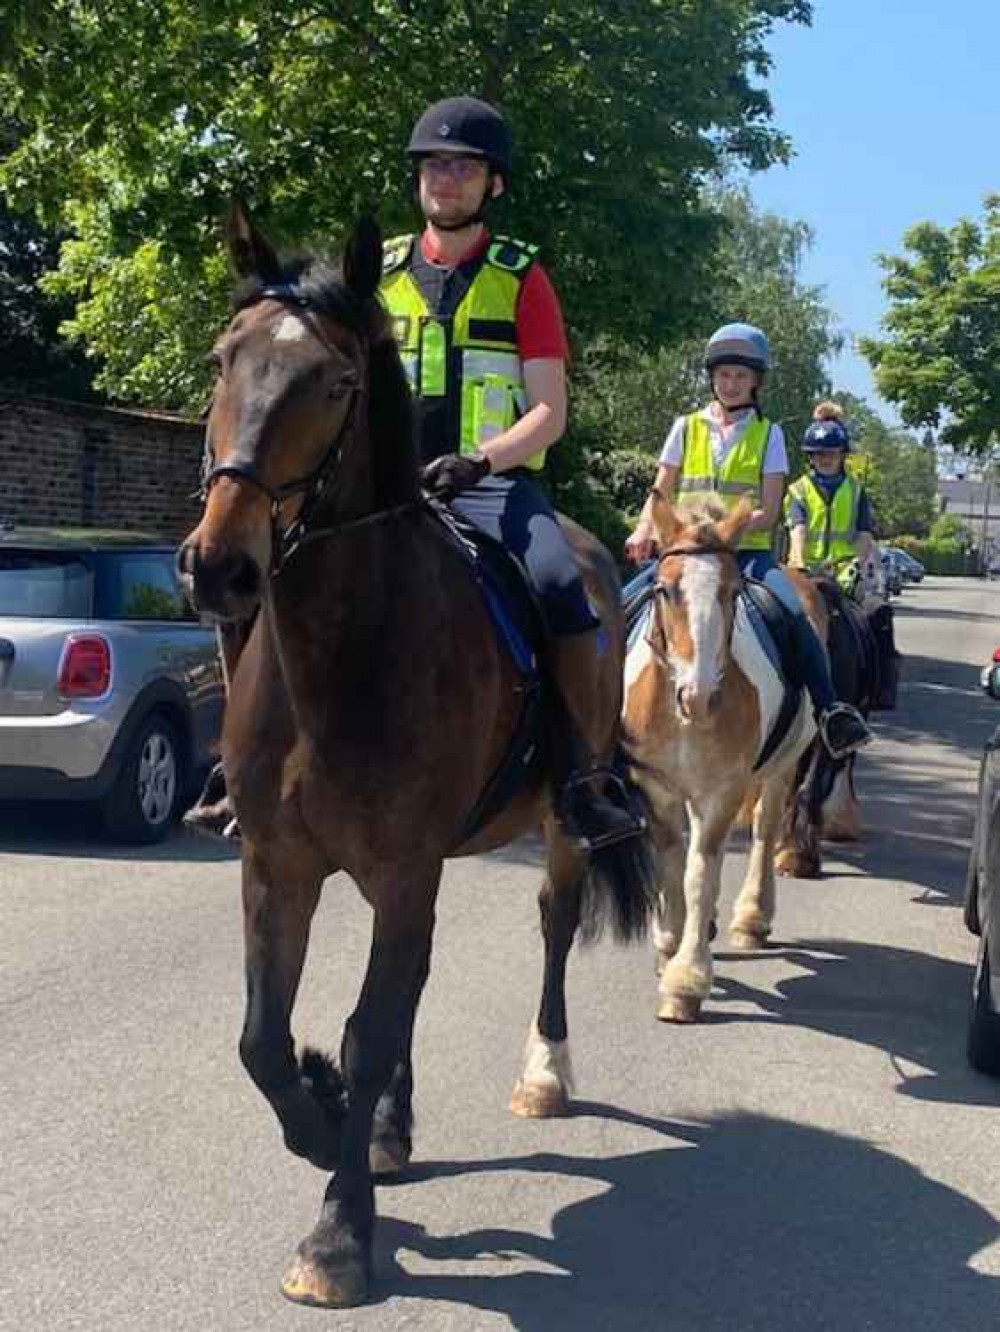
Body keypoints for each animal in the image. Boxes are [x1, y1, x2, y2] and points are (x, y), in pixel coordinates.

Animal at [175, 202, 652, 1305]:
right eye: (223, 360)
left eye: (336, 382)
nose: (220, 567)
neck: (340, 652)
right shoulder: (278, 864)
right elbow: (264, 1038)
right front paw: (321, 1121)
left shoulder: (400, 867)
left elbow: (365, 1029)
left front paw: (338, 1236)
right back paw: (386, 1125)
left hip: (558, 823)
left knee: (553, 925)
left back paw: (543, 1074)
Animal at [625, 495, 830, 1022]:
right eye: (664, 590)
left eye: (731, 593)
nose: (698, 698)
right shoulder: (657, 788)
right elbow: (671, 863)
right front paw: (669, 943)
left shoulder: (720, 792)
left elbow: (700, 874)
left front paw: (686, 979)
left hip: (782, 767)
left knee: (764, 830)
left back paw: (751, 918)